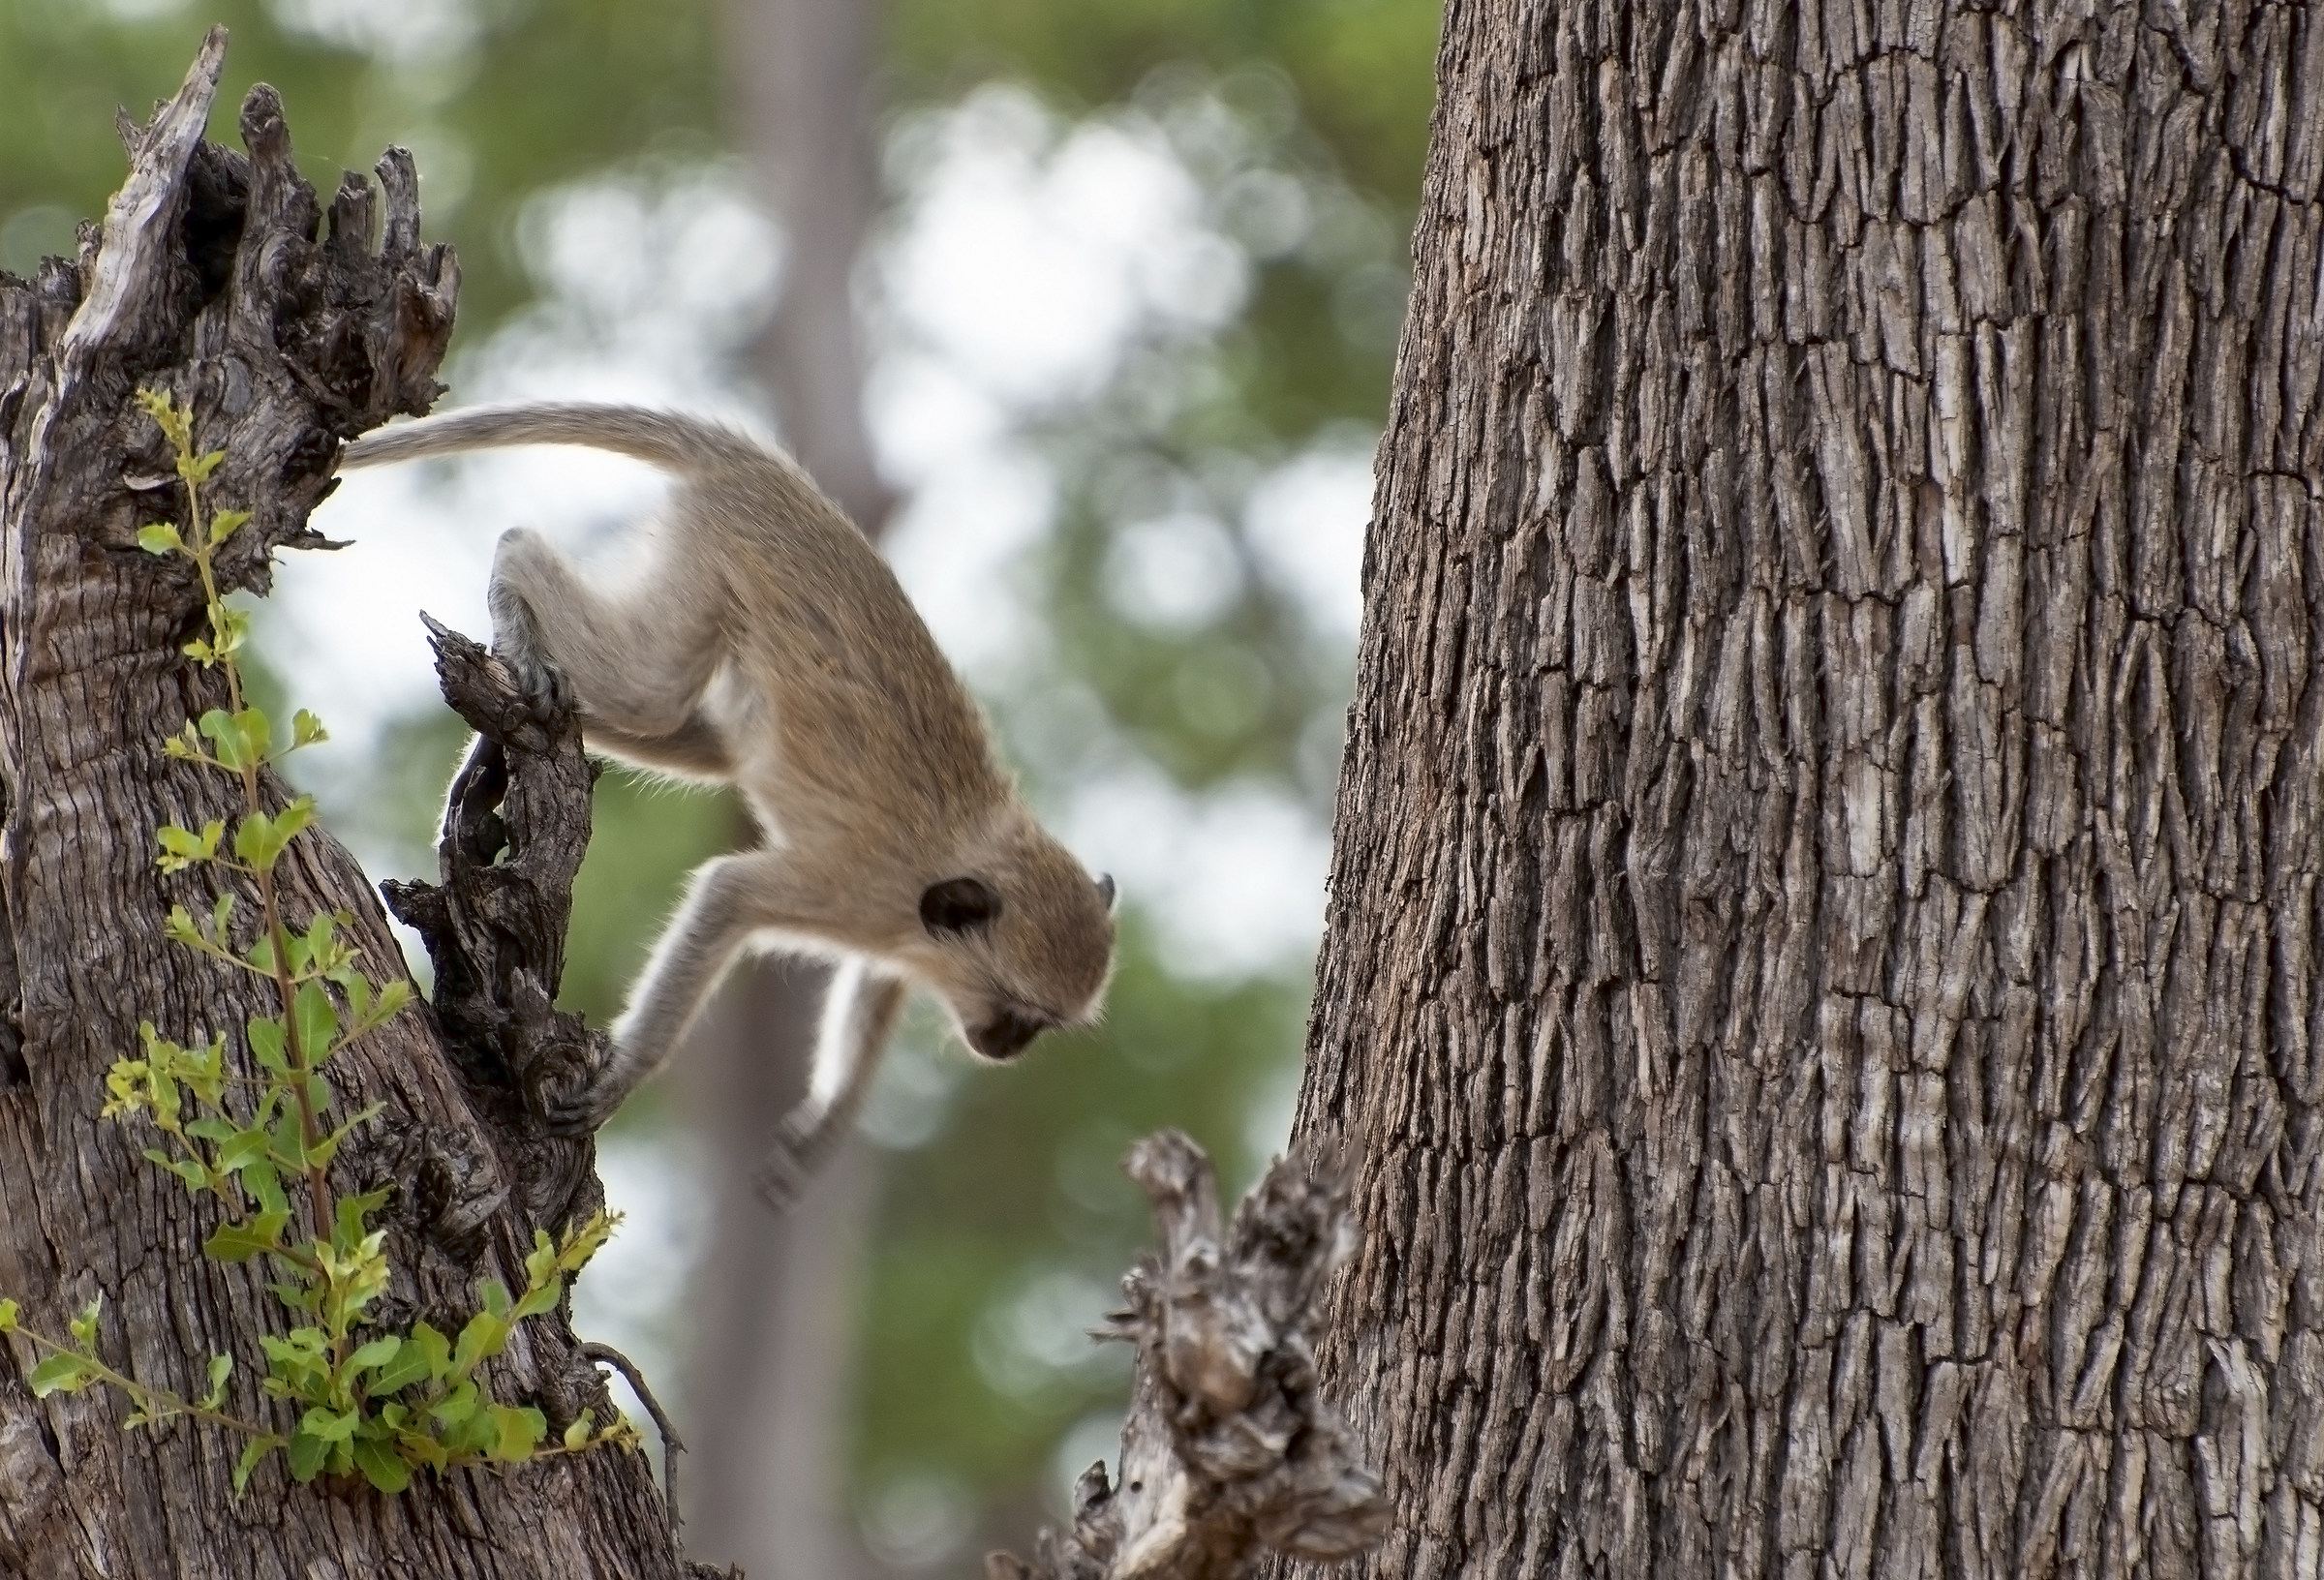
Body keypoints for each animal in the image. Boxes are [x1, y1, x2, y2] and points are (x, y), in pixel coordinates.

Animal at [338, 404, 1118, 1206]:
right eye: (1017, 1011)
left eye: (1039, 1024)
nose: (1007, 1046)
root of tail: (760, 469)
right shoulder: (859, 893)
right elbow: (729, 893)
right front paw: (626, 1072)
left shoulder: (902, 930)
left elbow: (876, 980)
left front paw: (828, 1121)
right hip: (709, 558)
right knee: (647, 688)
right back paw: (515, 576)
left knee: (711, 742)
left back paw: (495, 739)